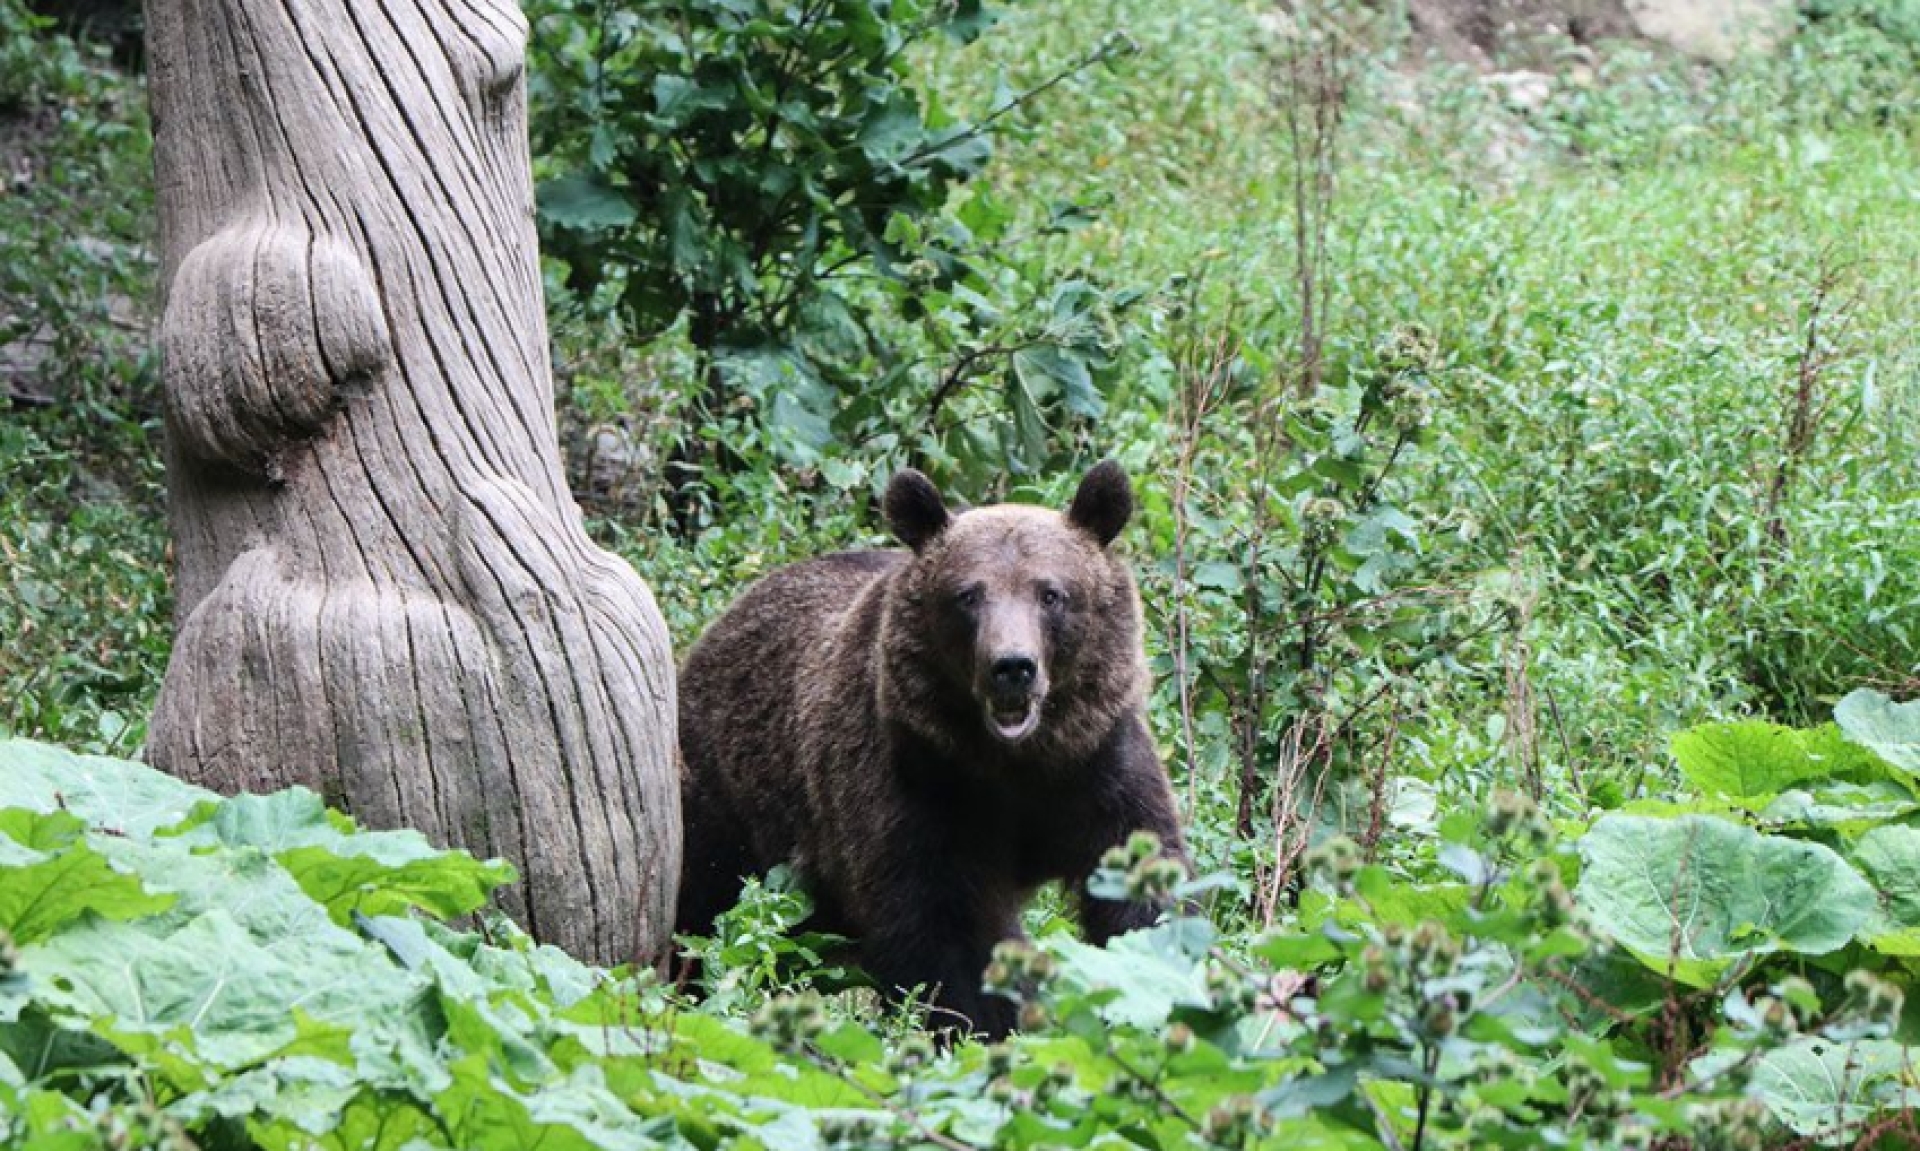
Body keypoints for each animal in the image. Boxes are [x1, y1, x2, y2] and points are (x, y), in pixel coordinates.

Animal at [675, 463, 1182, 1037]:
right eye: (968, 595)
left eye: (1051, 593)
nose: (1012, 666)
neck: (1016, 763)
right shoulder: (921, 784)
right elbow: (942, 928)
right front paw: (979, 1023)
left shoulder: (1097, 765)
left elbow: (1141, 887)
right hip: (730, 800)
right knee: (704, 905)